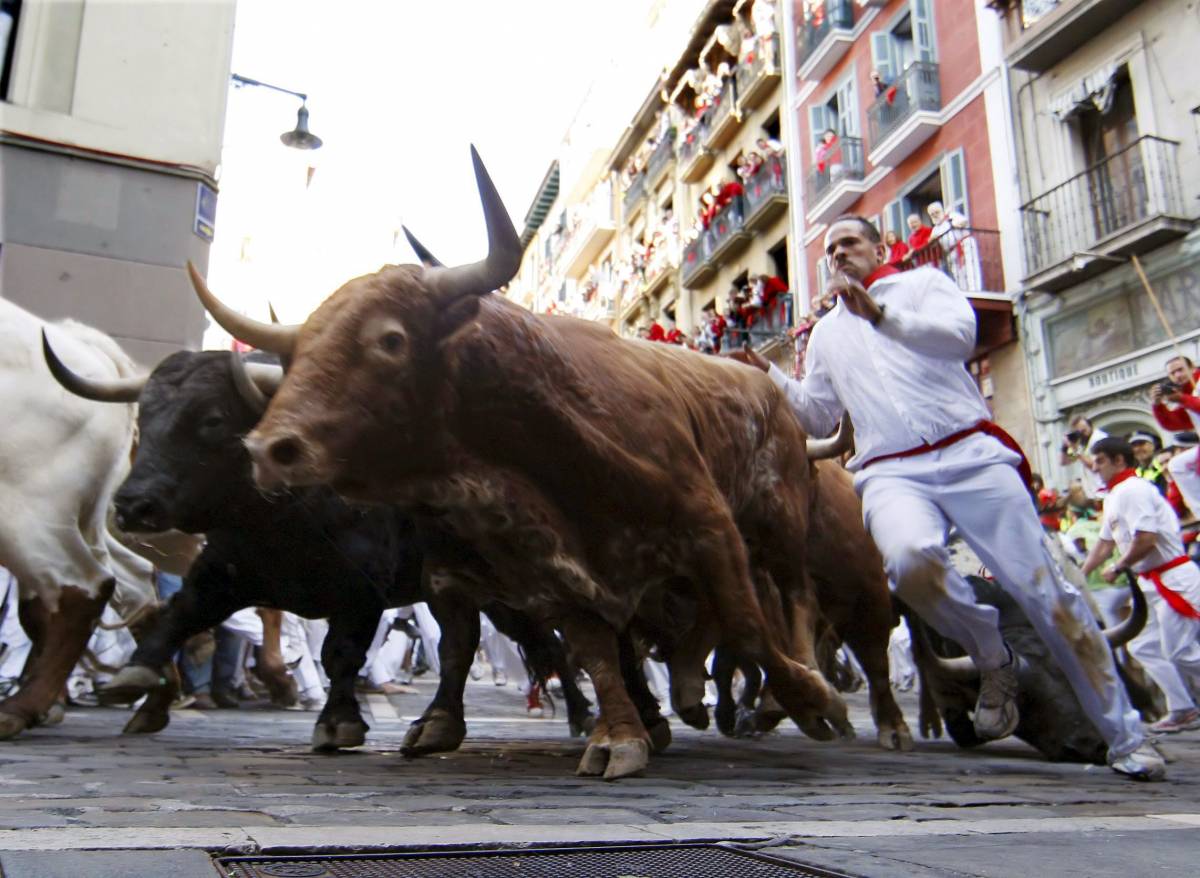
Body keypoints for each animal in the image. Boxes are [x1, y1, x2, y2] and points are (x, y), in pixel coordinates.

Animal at [44, 345, 592, 753]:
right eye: (145, 416)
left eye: (212, 419)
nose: (133, 505)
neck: (279, 519)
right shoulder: (223, 575)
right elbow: (179, 615)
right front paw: (136, 675)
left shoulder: (361, 592)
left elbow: (341, 655)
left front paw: (338, 723)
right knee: (507, 645)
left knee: (538, 645)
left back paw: (580, 718)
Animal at [189, 149, 854, 782]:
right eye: (298, 353)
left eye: (390, 340)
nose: (268, 449)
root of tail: (767, 386)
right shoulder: (540, 569)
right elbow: (589, 650)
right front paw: (621, 736)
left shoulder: (710, 530)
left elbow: (746, 624)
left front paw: (811, 699)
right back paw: (690, 691)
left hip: (779, 525)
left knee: (795, 602)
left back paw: (788, 699)